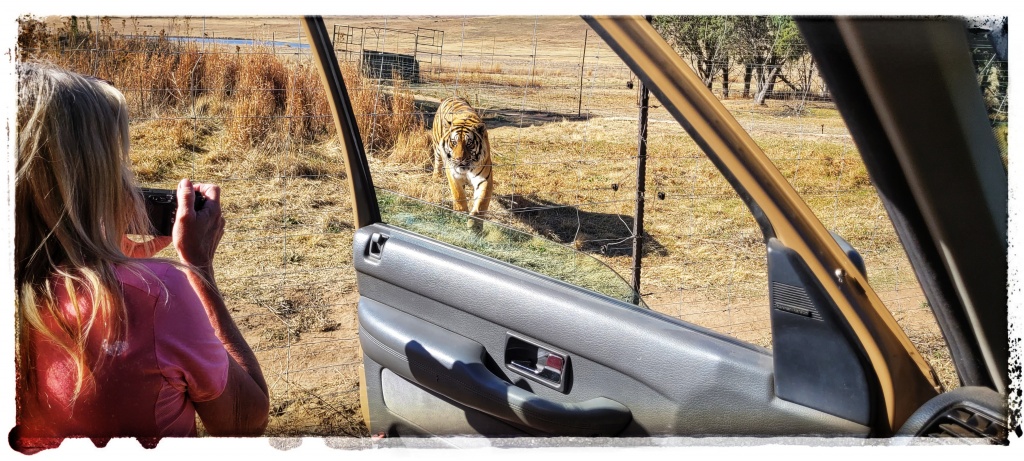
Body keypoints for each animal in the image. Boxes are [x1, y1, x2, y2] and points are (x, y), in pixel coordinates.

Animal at [430, 95, 493, 223]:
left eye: (469, 144)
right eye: (454, 142)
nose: (459, 159)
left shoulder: (485, 178)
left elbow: (482, 201)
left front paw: (475, 221)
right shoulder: (453, 174)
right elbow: (458, 194)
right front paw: (461, 213)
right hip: (437, 147)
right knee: (437, 163)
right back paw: (436, 177)